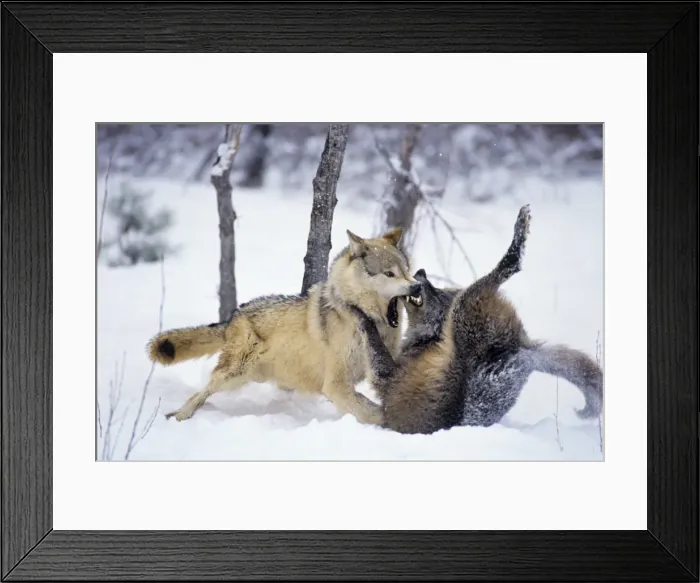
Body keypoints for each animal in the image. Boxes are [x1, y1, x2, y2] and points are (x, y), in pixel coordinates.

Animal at [146, 227, 422, 425]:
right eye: (389, 274)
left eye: (407, 270)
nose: (417, 286)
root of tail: (234, 315)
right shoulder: (336, 385)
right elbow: (371, 411)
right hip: (234, 375)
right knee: (200, 392)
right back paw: (180, 415)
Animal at [350, 205, 603, 434]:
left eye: (438, 292)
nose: (420, 273)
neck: (430, 340)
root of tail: (519, 354)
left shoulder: (387, 377)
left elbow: (371, 337)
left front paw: (358, 312)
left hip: (463, 307)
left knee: (508, 268)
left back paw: (518, 236)